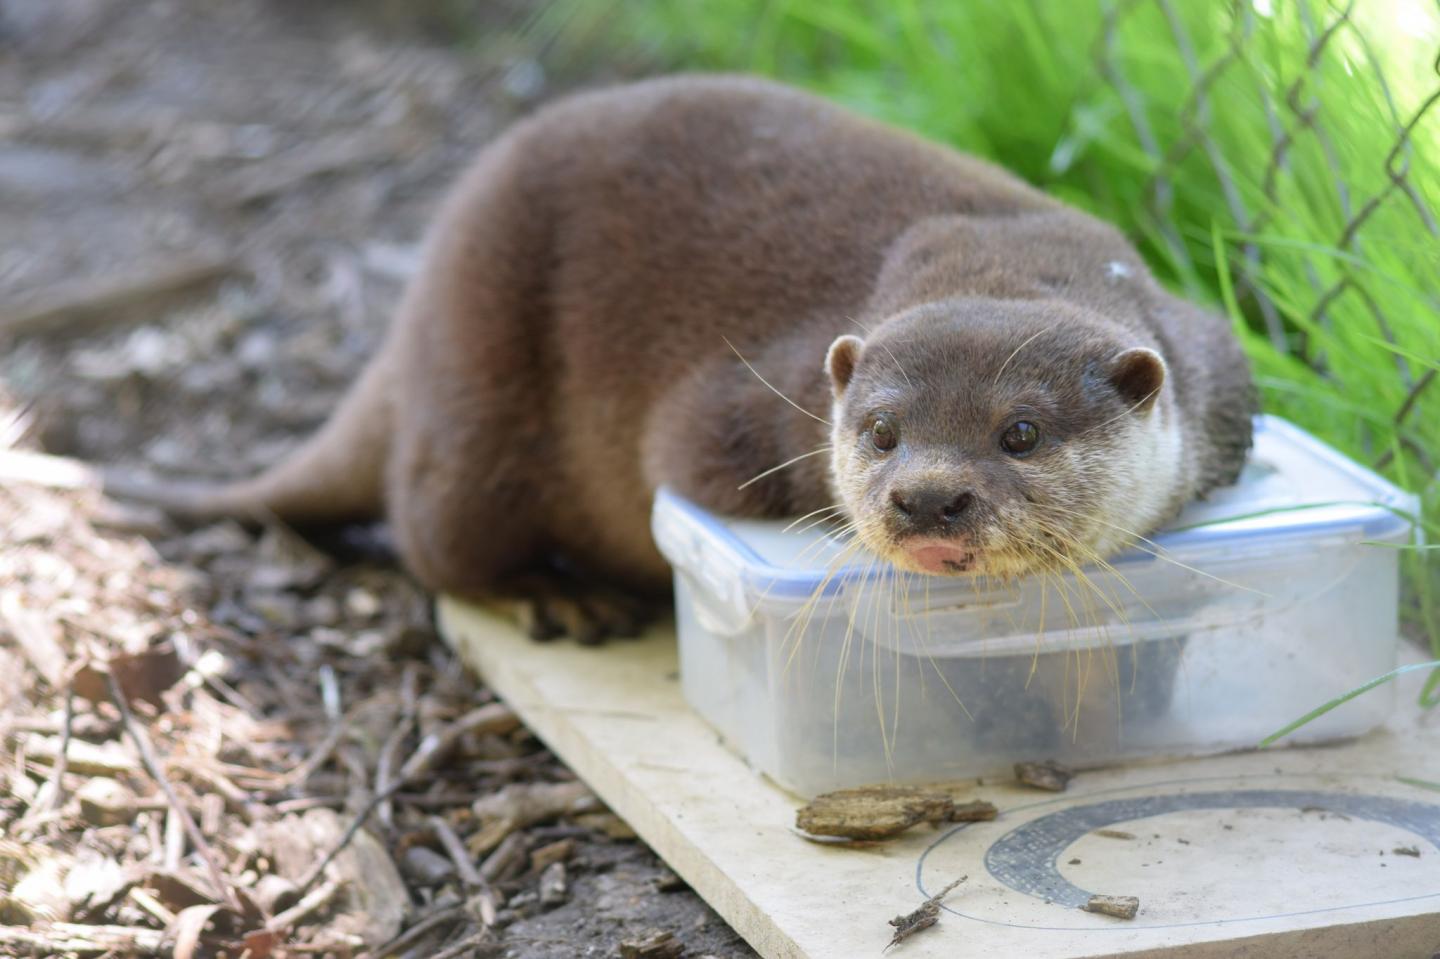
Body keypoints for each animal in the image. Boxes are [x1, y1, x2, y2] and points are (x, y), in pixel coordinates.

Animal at [123, 75, 1255, 640]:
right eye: (881, 431)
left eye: (1020, 432)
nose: (927, 499)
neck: (998, 252)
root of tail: (412, 317)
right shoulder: (734, 409)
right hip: (476, 382)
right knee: (431, 536)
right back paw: (553, 596)